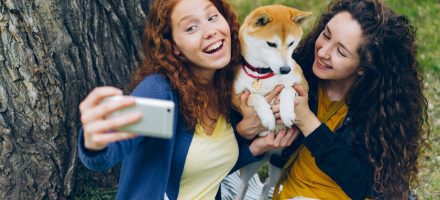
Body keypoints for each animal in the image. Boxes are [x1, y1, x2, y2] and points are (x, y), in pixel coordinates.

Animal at [235, 4, 312, 200]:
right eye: (271, 44)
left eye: (291, 43)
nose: (285, 69)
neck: (263, 73)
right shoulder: (237, 98)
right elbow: (255, 96)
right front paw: (268, 117)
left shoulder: (303, 88)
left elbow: (287, 89)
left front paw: (286, 112)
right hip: (253, 162)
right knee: (244, 185)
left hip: (279, 166)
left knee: (268, 185)